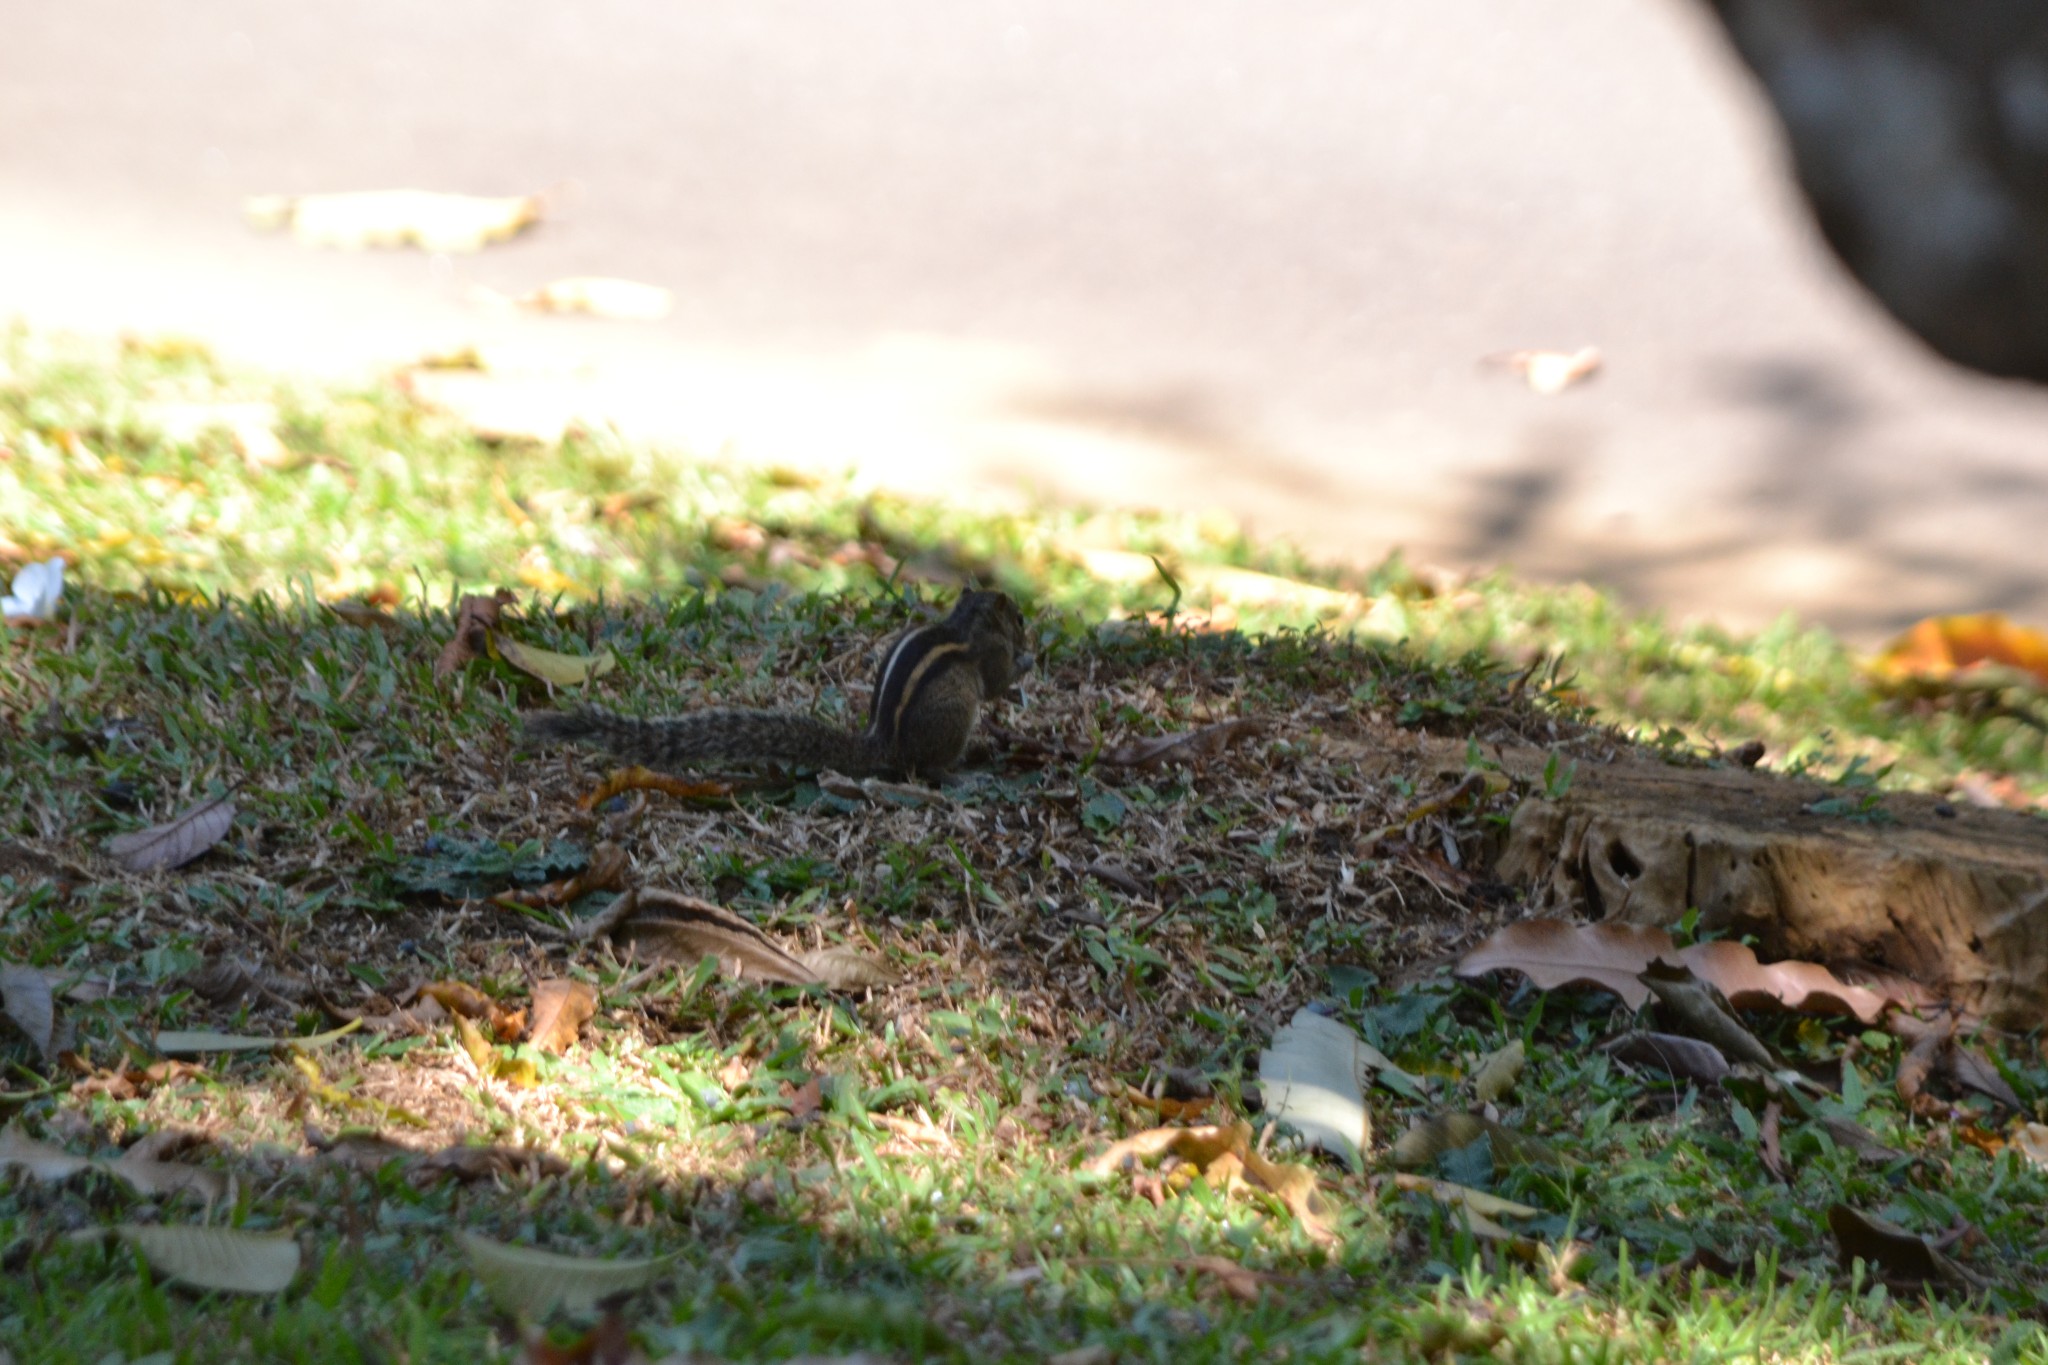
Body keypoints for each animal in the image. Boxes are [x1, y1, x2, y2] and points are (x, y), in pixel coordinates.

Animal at [528, 593, 1032, 785]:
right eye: (1020, 617)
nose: (1029, 634)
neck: (966, 623)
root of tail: (883, 744)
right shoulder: (989, 655)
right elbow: (996, 682)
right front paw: (1025, 663)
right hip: (953, 719)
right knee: (926, 768)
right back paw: (961, 773)